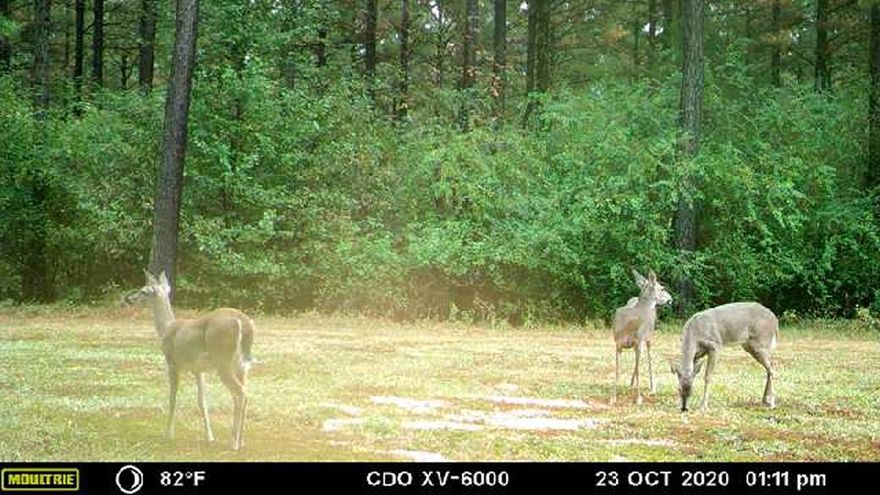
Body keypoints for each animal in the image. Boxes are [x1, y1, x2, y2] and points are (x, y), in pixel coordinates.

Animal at [124, 270, 255, 450]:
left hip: (223, 360)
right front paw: (209, 436)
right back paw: (241, 440)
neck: (166, 328)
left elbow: (172, 399)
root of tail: (242, 321)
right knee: (246, 393)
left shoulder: (172, 363)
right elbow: (202, 401)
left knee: (240, 393)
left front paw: (168, 434)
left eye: (143, 290)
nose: (128, 298)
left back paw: (233, 442)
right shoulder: (198, 370)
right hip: (241, 366)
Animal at [611, 269, 673, 405]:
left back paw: (652, 388)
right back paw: (631, 384)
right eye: (662, 288)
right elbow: (617, 369)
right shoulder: (617, 343)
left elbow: (639, 369)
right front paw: (613, 397)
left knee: (649, 359)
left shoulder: (639, 341)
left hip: (649, 337)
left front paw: (638, 398)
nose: (671, 298)